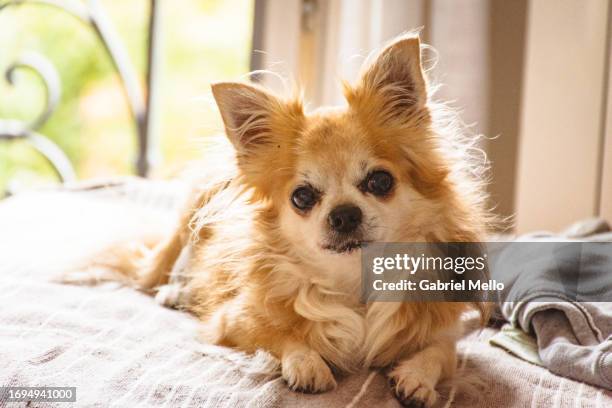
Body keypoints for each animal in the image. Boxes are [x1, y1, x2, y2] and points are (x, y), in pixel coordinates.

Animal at [111, 33, 492, 406]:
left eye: (381, 181)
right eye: (302, 197)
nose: (344, 214)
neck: (353, 284)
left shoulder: (444, 330)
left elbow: (440, 353)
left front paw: (416, 378)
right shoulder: (234, 321)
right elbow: (279, 335)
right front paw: (307, 363)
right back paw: (175, 291)